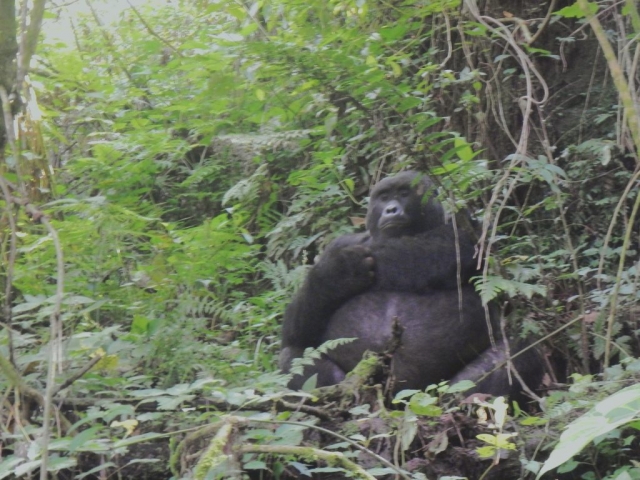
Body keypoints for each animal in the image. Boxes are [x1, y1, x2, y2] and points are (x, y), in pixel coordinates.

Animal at [280, 171, 540, 396]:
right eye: (384, 197)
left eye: (404, 193)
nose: (391, 209)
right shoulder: (338, 243)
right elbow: (297, 332)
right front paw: (335, 273)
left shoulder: (469, 225)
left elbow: (441, 246)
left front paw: (344, 269)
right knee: (292, 354)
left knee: (519, 346)